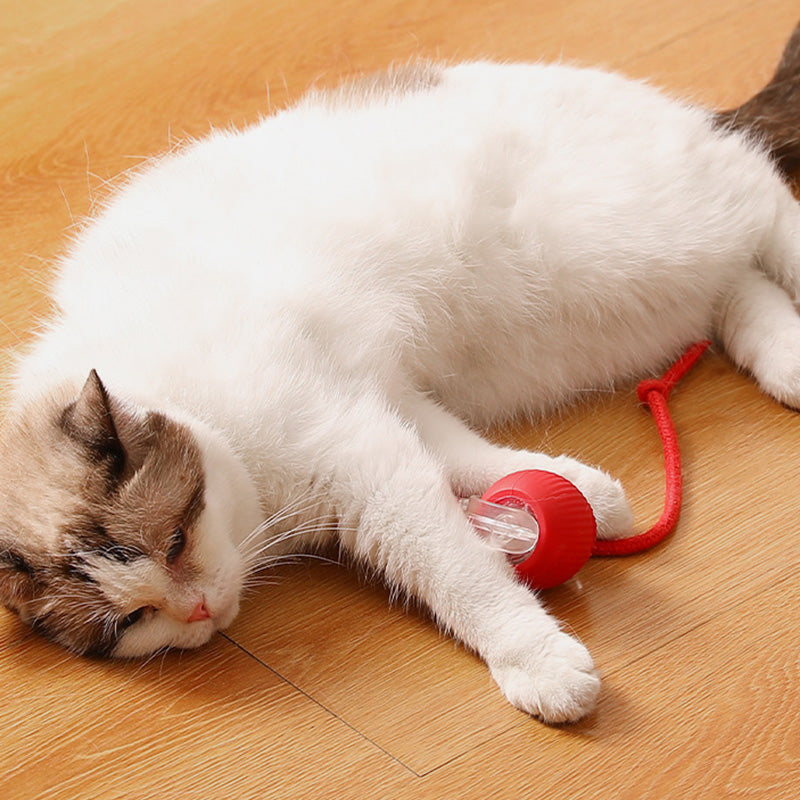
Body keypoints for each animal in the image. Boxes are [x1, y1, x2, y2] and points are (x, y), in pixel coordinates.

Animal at [1, 25, 800, 724]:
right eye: (134, 619)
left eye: (174, 542)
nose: (197, 609)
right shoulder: (381, 403)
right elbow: (474, 458)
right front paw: (589, 498)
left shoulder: (364, 465)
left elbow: (458, 573)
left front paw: (537, 662)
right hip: (649, 295)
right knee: (734, 290)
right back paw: (789, 359)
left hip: (641, 237)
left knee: (768, 205)